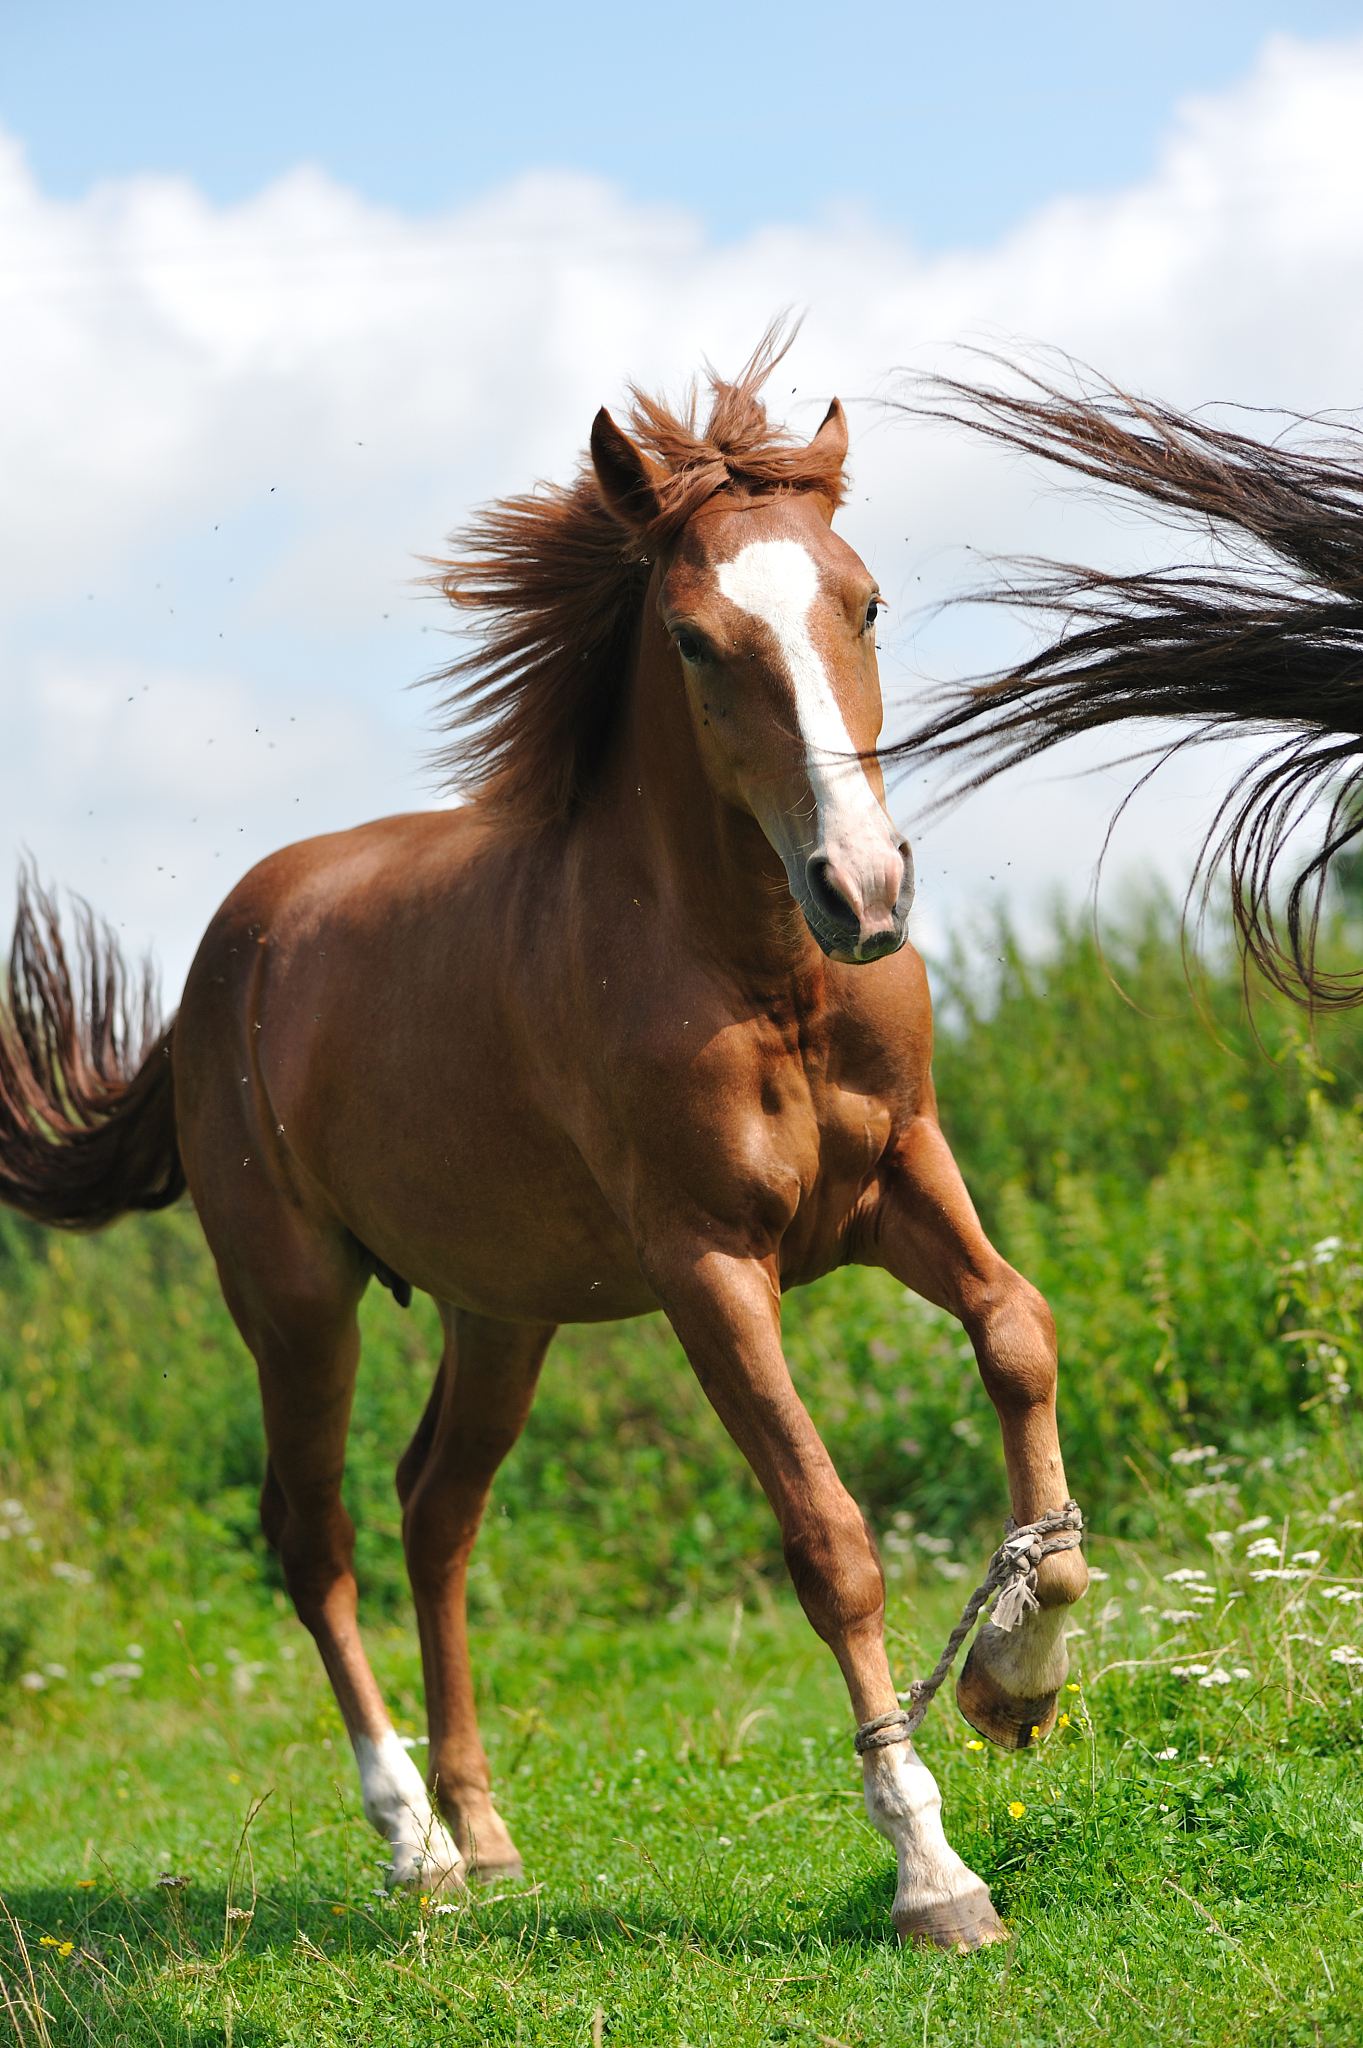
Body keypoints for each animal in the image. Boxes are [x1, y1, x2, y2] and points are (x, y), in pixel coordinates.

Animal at [0, 335, 1088, 1952]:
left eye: (866, 599)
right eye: (694, 641)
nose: (862, 887)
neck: (756, 969)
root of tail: (221, 960)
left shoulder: (899, 1176)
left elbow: (1017, 1329)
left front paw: (1015, 1671)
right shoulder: (708, 1265)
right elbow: (826, 1537)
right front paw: (931, 1871)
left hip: (500, 1311)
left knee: (432, 1510)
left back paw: (486, 1829)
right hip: (297, 1304)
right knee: (315, 1534)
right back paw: (413, 1844)